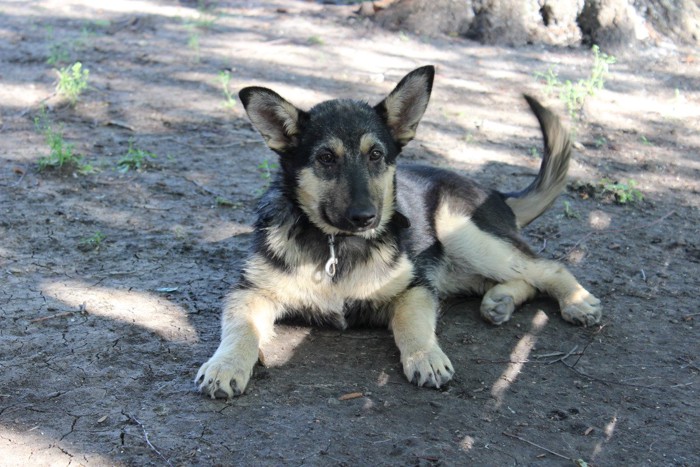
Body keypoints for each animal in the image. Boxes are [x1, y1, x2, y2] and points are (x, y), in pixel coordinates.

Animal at [197, 65, 600, 398]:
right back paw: (500, 300)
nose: (366, 217)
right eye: (326, 159)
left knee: (547, 267)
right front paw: (225, 365)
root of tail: (497, 194)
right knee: (522, 278)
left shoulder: (415, 288)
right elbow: (240, 329)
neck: (336, 245)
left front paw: (426, 357)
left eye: (376, 155)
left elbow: (412, 323)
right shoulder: (249, 292)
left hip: (462, 233)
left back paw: (576, 301)